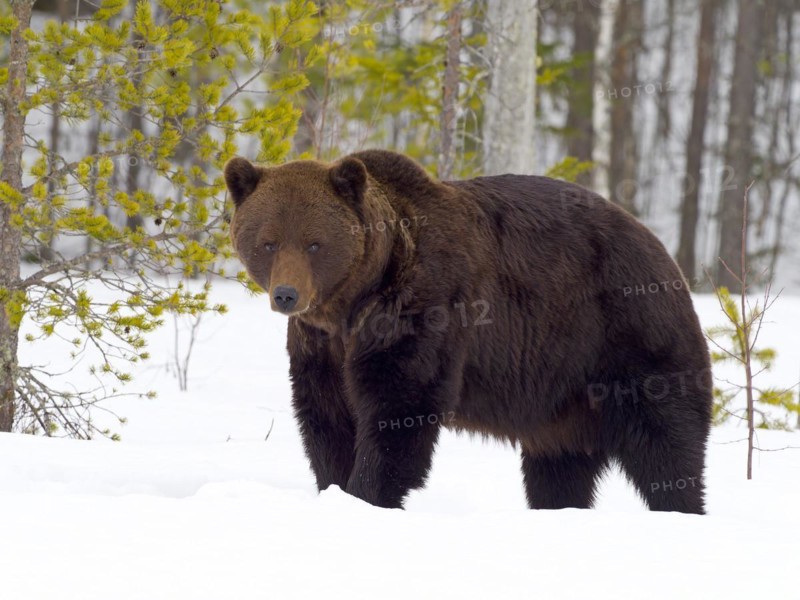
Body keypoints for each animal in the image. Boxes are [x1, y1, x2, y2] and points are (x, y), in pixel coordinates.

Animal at [224, 149, 713, 514]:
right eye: (268, 242)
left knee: (666, 441)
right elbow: (326, 415)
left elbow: (398, 405)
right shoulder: (321, 345)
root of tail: (662, 250)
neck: (353, 303)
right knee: (559, 465)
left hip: (626, 337)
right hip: (561, 397)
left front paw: (368, 492)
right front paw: (334, 486)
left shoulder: (423, 308)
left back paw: (681, 506)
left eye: (314, 243)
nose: (287, 295)